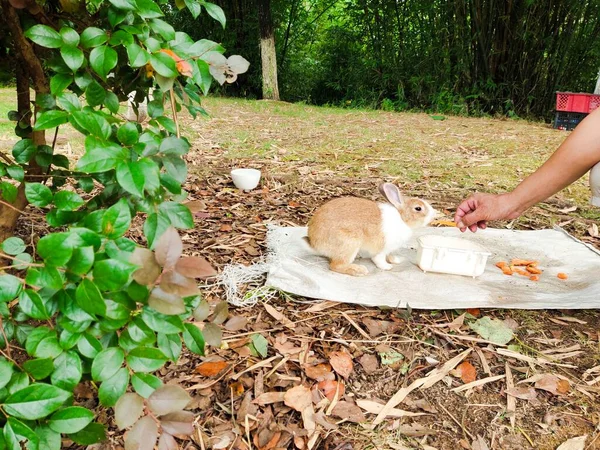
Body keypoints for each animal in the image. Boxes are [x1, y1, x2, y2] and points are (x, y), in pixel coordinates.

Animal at [304, 182, 436, 274]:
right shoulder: (381, 249)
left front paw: (396, 260)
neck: (402, 218)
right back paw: (359, 270)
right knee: (335, 266)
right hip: (349, 243)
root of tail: (314, 243)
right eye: (418, 208)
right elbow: (379, 259)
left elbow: (389, 256)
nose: (433, 214)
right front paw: (387, 267)